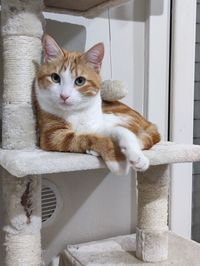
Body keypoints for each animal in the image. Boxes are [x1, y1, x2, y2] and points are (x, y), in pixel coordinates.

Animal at [34, 34, 159, 175]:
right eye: (55, 78)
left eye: (80, 81)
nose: (64, 96)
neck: (75, 113)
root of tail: (149, 123)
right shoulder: (53, 136)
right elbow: (90, 138)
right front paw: (117, 160)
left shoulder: (97, 126)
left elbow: (122, 132)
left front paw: (136, 156)